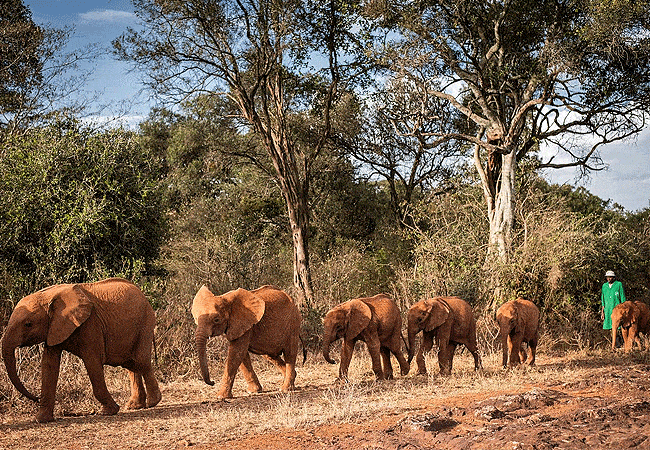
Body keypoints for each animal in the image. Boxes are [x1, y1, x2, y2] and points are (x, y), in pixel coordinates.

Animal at [1, 278, 161, 422]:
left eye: (28, 324)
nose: (35, 398)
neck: (49, 295)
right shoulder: (54, 327)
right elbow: (49, 365)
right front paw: (41, 420)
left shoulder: (90, 324)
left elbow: (92, 362)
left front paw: (109, 411)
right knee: (130, 365)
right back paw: (134, 406)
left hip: (146, 322)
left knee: (141, 361)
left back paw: (153, 402)